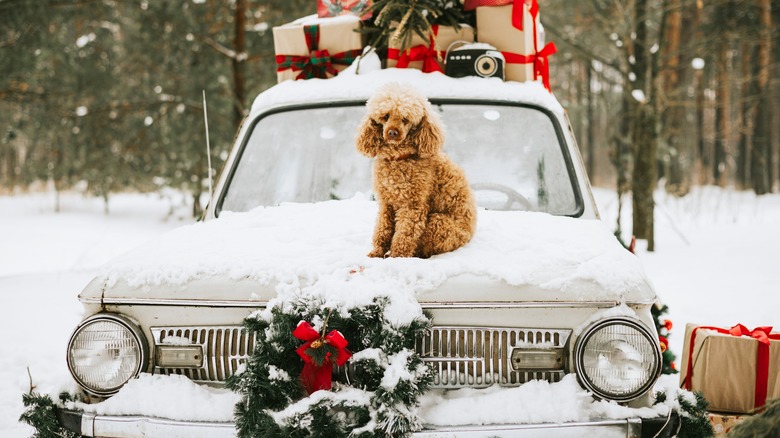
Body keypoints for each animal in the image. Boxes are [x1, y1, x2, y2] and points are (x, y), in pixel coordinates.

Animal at [354, 82, 476, 256]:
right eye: (385, 117)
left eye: (405, 119)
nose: (392, 132)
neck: (398, 159)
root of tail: (470, 236)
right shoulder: (386, 203)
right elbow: (382, 229)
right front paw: (377, 252)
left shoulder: (412, 205)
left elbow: (404, 235)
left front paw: (396, 256)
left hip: (439, 224)